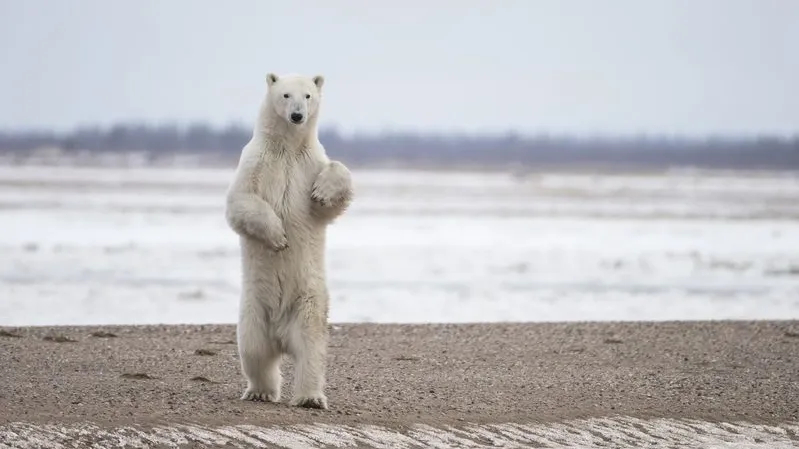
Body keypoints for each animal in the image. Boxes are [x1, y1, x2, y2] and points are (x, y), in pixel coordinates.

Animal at [223, 71, 352, 410]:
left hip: (308, 302)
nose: (297, 116)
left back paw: (310, 397)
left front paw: (322, 193)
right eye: (285, 95)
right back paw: (260, 390)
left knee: (312, 348)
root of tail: (281, 335)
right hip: (253, 309)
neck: (287, 148)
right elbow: (241, 201)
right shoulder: (255, 161)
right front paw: (279, 236)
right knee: (254, 350)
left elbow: (333, 191)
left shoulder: (309, 162)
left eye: (307, 95)